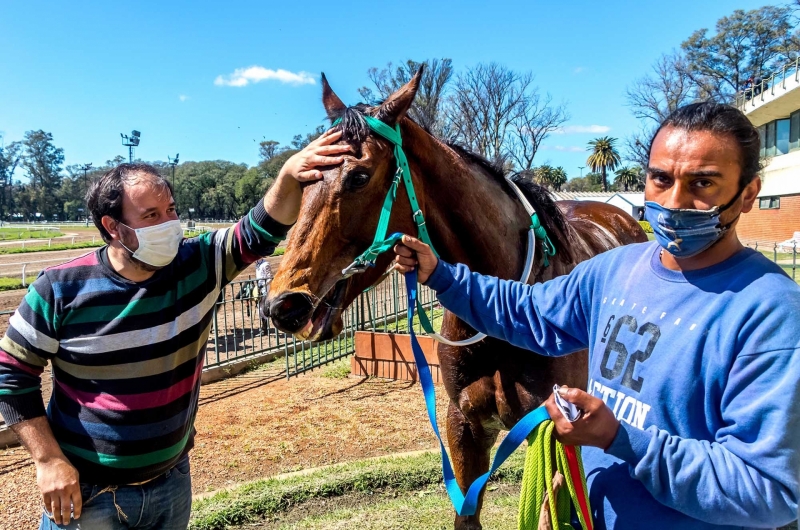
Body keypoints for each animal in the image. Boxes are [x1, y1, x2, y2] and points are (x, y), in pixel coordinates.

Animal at [266, 71, 648, 528]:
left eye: (358, 176)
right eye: (302, 179)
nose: (283, 304)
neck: (509, 309)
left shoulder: (553, 434)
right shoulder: (464, 424)